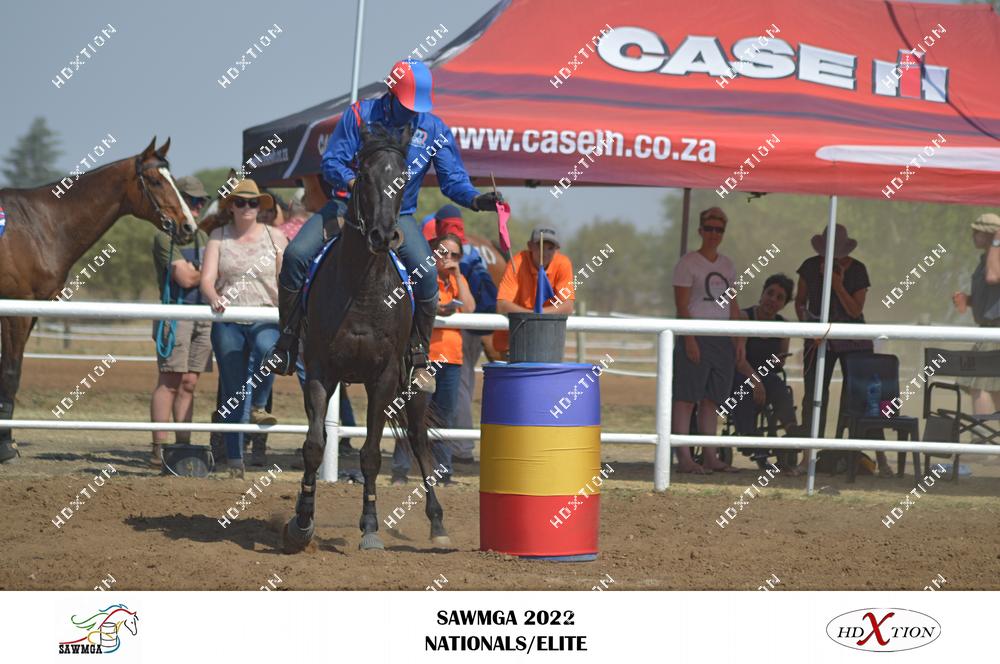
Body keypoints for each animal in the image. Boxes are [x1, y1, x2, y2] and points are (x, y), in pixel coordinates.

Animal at [0, 138, 197, 462]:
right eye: (155, 181)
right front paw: (6, 447)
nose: (188, 228)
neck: (40, 225)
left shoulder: (32, 311)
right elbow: (11, 371)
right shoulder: (16, 310)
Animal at [282, 121, 450, 553]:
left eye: (404, 177)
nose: (383, 235)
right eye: (365, 175)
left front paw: (371, 527)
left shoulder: (384, 378)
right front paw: (301, 520)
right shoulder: (320, 372)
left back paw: (438, 525)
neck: (363, 289)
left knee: (420, 443)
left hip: (414, 388)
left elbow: (372, 454)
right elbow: (314, 445)